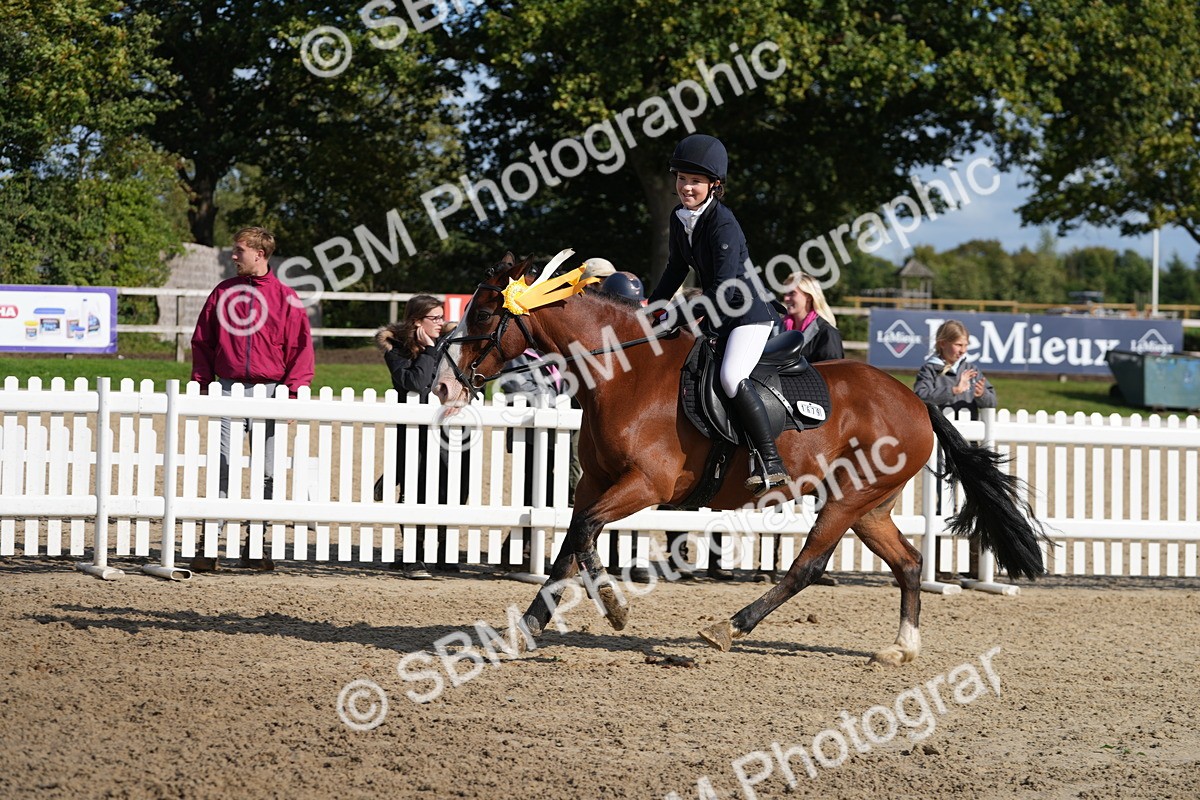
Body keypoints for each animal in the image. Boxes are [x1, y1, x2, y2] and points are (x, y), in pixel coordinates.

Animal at [434, 253, 1049, 665]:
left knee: (807, 567)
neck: (624, 373)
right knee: (909, 564)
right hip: (869, 506)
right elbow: (568, 547)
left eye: (484, 316)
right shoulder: (597, 483)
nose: (443, 384)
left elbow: (583, 534)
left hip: (847, 502)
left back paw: (729, 627)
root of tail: (917, 400)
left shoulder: (645, 486)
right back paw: (901, 648)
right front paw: (523, 630)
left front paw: (613, 606)